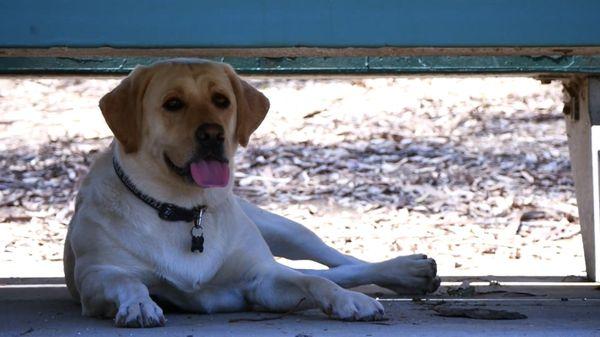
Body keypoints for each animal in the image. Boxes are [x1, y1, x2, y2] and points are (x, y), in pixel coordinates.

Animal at [63, 59, 438, 326]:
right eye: (172, 104)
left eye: (222, 101)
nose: (213, 134)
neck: (183, 210)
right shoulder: (97, 277)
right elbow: (130, 283)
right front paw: (140, 304)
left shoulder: (262, 280)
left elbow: (318, 284)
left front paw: (352, 301)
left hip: (285, 230)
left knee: (336, 264)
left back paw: (409, 270)